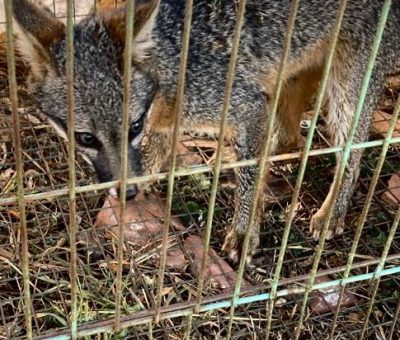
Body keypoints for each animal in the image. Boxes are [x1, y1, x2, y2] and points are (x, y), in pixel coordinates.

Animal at [4, 0, 400, 262]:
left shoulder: (246, 105)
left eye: (133, 126)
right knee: (289, 136)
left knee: (353, 152)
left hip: (347, 89)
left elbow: (248, 177)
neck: (171, 69)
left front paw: (244, 231)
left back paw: (332, 212)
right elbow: (152, 158)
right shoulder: (171, 126)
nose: (126, 192)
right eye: (86, 138)